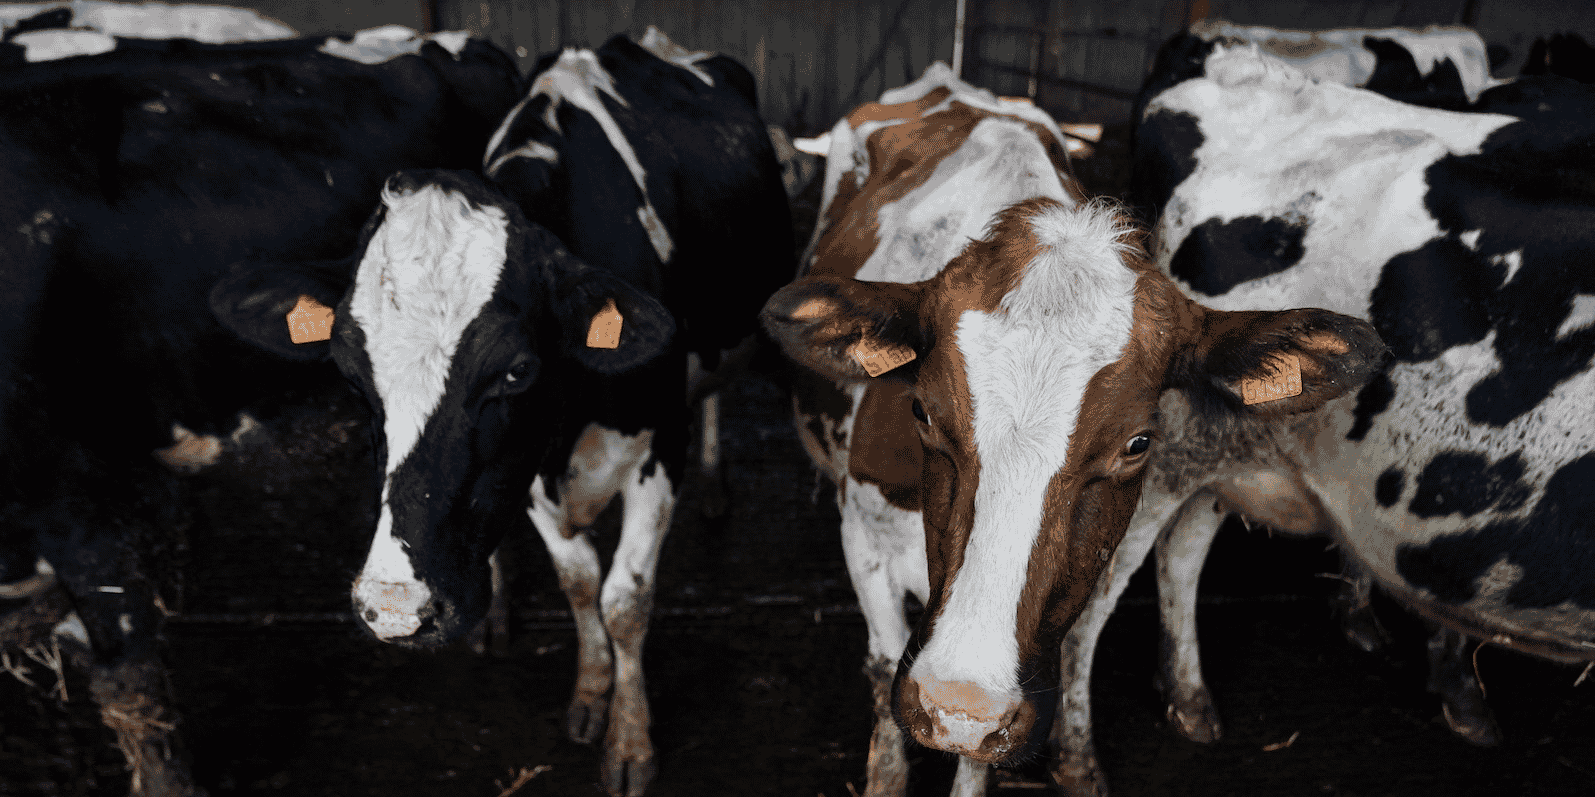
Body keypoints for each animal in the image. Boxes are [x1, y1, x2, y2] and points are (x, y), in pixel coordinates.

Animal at [211, 29, 793, 797]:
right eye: (349, 373)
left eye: (515, 370)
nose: (395, 606)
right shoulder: (525, 467)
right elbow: (579, 582)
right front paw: (590, 694)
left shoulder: (656, 448)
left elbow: (625, 600)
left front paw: (629, 741)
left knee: (719, 394)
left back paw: (719, 484)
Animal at [758, 62, 1384, 797]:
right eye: (922, 413)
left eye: (1137, 443)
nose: (958, 701)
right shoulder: (862, 536)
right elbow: (886, 673)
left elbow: (981, 753)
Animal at [1030, 43, 1595, 796]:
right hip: (1167, 460)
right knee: (1096, 597)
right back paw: (1076, 756)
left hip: (1230, 446)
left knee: (1181, 554)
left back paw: (1191, 699)